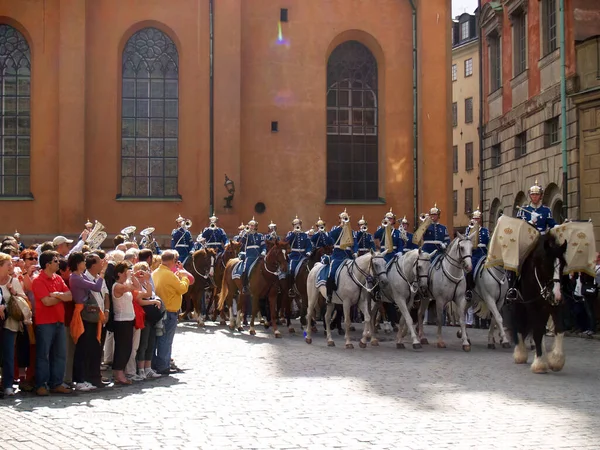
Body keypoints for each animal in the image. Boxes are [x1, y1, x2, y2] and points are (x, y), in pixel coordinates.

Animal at [506, 234, 568, 374]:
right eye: (546, 265)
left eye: (562, 266)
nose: (557, 295)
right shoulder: (532, 307)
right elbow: (537, 332)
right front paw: (539, 364)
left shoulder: (555, 307)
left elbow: (560, 329)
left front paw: (556, 360)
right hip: (519, 305)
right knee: (520, 325)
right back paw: (520, 353)